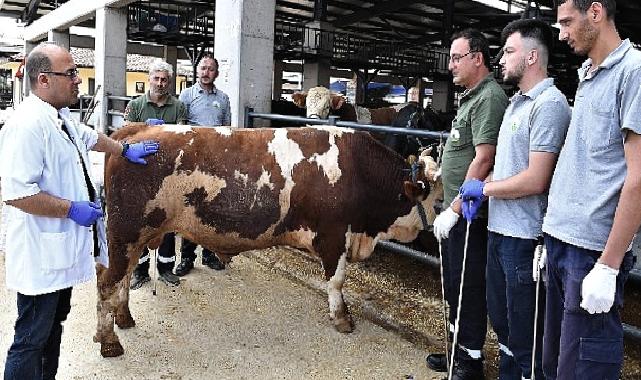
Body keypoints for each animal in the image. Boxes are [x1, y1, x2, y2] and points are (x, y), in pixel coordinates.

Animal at [94, 121, 436, 356]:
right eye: (433, 196)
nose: (432, 230)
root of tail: (136, 131)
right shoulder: (334, 235)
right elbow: (337, 281)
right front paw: (342, 319)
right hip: (126, 233)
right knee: (108, 281)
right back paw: (109, 342)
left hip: (133, 237)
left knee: (122, 278)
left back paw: (124, 318)